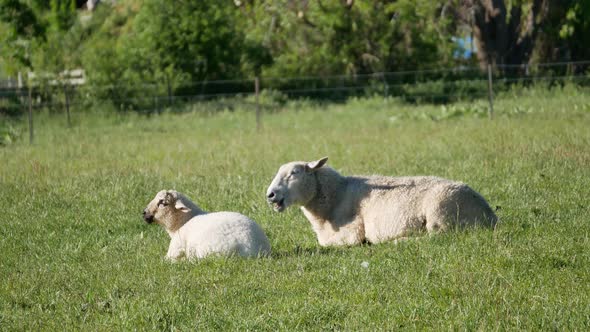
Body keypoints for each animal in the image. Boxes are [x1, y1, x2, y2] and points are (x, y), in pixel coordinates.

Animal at [143, 189, 272, 260]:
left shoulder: (175, 249)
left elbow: (166, 260)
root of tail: (255, 249)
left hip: (212, 253)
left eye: (162, 202)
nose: (144, 213)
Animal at [268, 156, 500, 246]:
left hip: (440, 213)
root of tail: (490, 215)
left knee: (437, 237)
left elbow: (327, 243)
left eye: (294, 173)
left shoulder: (352, 232)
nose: (269, 195)